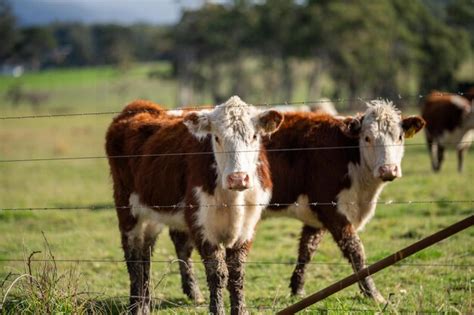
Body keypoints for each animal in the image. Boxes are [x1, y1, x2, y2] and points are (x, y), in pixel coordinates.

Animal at [106, 97, 284, 315]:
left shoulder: (247, 227)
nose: (238, 178)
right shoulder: (201, 225)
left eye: (254, 136)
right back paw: (136, 305)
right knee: (132, 253)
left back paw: (147, 302)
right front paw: (217, 310)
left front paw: (240, 310)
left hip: (153, 213)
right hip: (127, 208)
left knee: (146, 251)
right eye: (216, 137)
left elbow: (236, 273)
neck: (232, 199)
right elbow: (217, 272)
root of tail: (138, 106)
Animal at [168, 100, 424, 304]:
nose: (388, 169)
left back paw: (192, 292)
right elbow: (355, 249)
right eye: (368, 138)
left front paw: (297, 288)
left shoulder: (317, 216)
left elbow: (307, 249)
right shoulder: (331, 208)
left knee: (181, 242)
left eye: (399, 136)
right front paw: (372, 293)